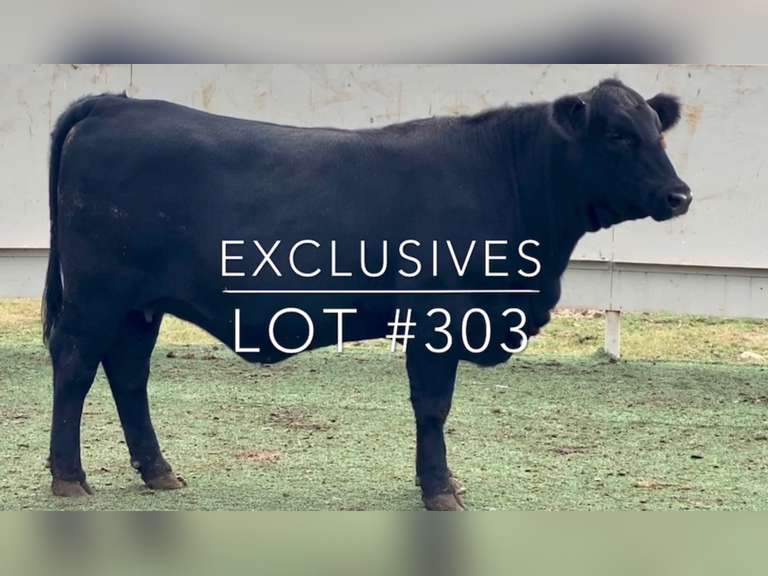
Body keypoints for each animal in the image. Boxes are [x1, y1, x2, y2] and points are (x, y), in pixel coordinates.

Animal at [43, 78, 690, 510]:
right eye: (617, 136)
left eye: (658, 133)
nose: (680, 194)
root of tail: (116, 103)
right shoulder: (437, 319)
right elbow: (433, 406)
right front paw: (439, 489)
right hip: (97, 297)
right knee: (75, 368)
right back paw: (69, 477)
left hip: (138, 307)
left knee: (128, 374)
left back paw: (158, 471)